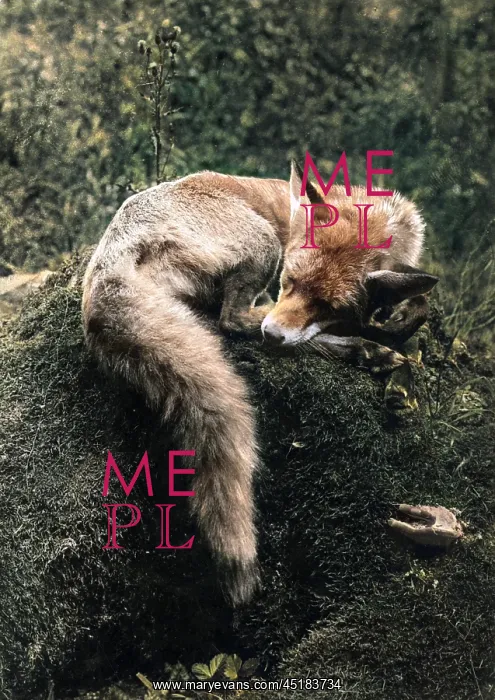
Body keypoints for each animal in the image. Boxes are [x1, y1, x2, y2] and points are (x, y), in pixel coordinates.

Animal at [82, 163, 437, 605]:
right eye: (289, 280)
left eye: (329, 305)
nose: (273, 335)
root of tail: (107, 263)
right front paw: (384, 351)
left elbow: (419, 310)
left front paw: (400, 369)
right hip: (262, 242)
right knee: (231, 320)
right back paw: (362, 349)